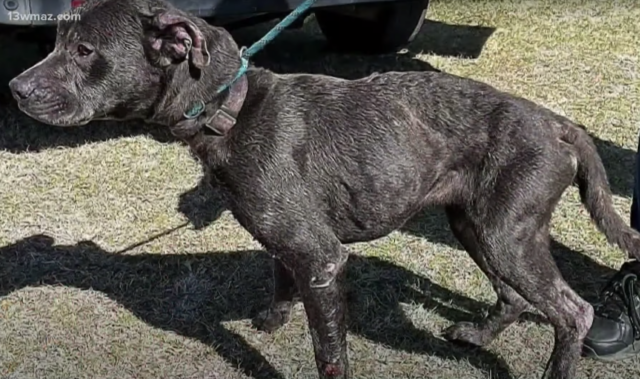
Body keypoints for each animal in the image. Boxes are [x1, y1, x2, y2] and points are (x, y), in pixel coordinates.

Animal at [6, 1, 640, 378]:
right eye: (57, 42)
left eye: (84, 51)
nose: (14, 88)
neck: (231, 111)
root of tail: (559, 123)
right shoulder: (291, 246)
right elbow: (277, 277)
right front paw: (271, 321)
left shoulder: (323, 259)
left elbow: (329, 352)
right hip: (477, 227)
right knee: (513, 297)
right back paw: (476, 333)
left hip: (507, 234)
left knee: (572, 312)